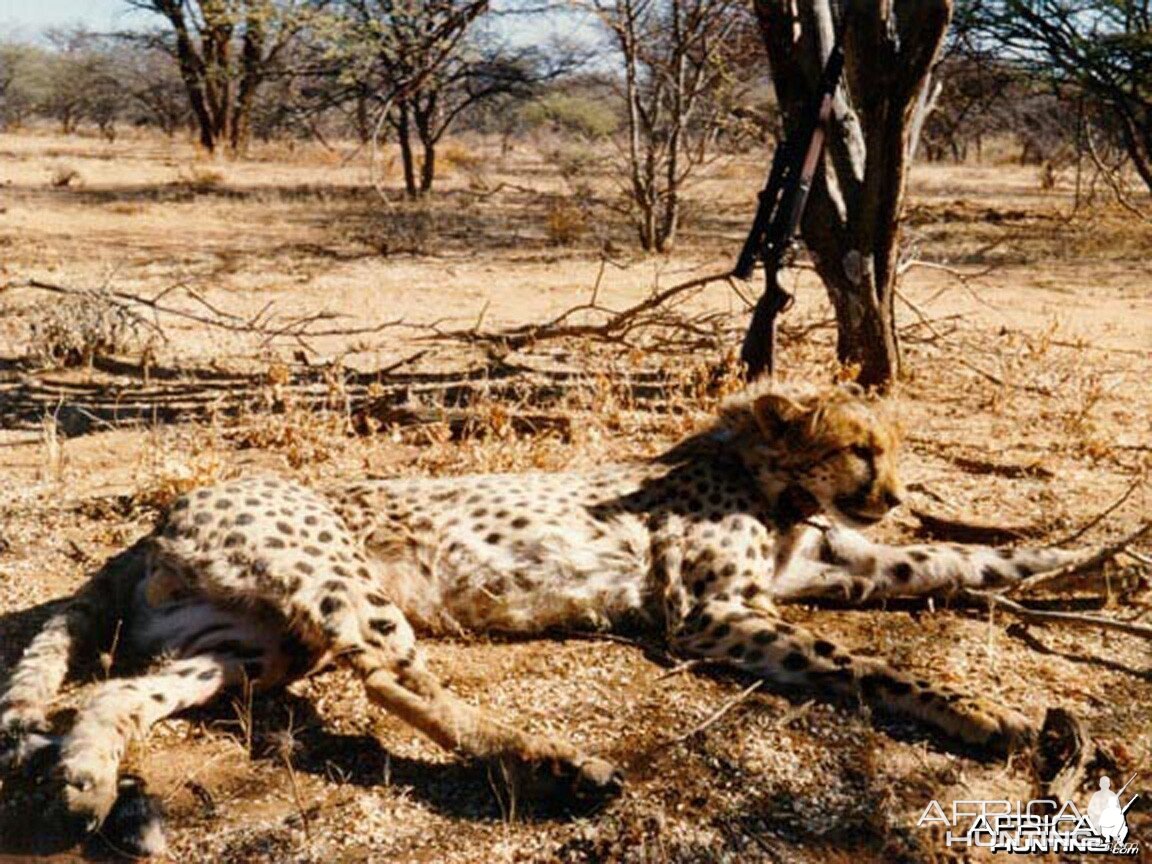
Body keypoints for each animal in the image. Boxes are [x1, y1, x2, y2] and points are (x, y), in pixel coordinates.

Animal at [0, 387, 1087, 861]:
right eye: (860, 449)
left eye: (894, 448)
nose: (895, 493)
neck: (764, 478)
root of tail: (159, 518)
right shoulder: (713, 613)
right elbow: (859, 661)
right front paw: (982, 710)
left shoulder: (827, 566)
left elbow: (947, 565)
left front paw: (1074, 558)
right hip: (330, 583)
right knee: (391, 674)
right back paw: (555, 765)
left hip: (248, 646)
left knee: (113, 691)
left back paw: (89, 783)